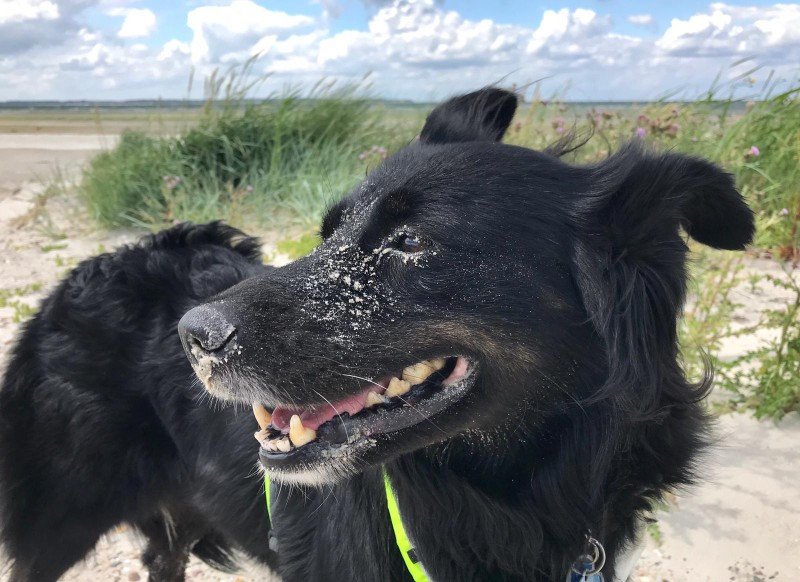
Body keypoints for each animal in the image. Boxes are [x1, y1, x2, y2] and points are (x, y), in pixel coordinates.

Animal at [0, 88, 754, 581]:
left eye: (410, 241)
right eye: (328, 232)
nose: (193, 336)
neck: (509, 494)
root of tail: (88, 272)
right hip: (58, 517)